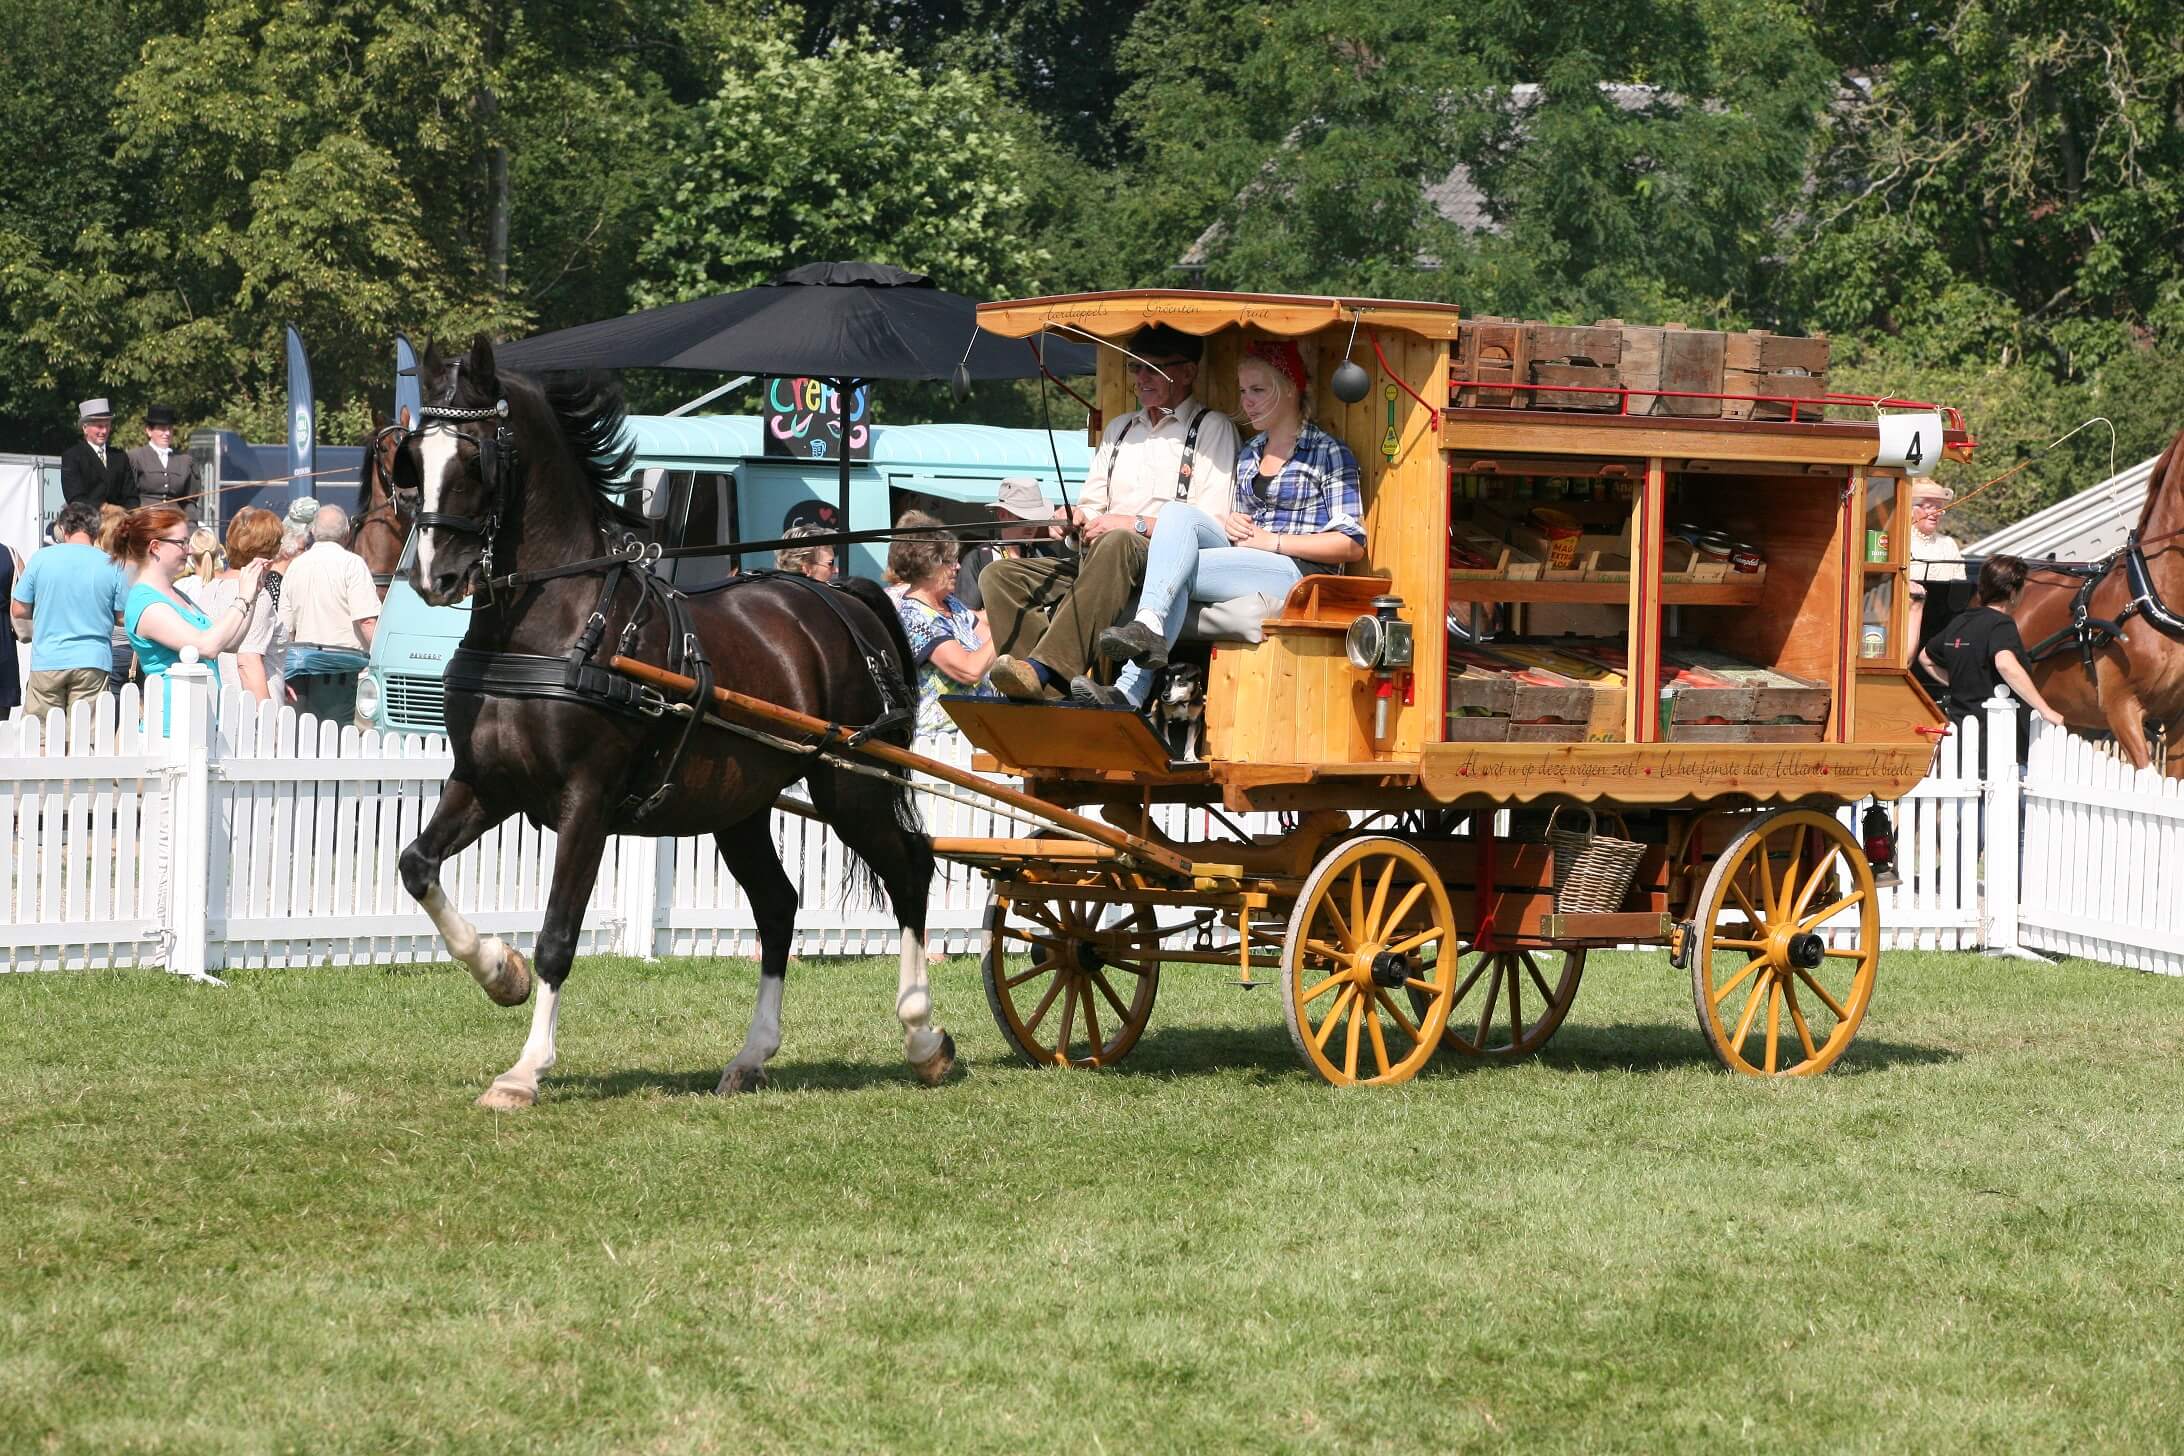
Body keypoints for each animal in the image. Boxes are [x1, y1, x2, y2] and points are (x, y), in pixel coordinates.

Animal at [391, 336, 955, 1108]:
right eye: (413, 461)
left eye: (477, 459)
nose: (431, 577)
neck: (557, 627)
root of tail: (842, 596)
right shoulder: (485, 783)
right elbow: (416, 866)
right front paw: (499, 972)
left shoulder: (586, 803)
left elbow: (558, 934)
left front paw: (525, 1069)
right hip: (740, 806)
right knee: (779, 905)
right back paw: (752, 1055)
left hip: (853, 786)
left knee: (911, 872)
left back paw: (923, 1036)